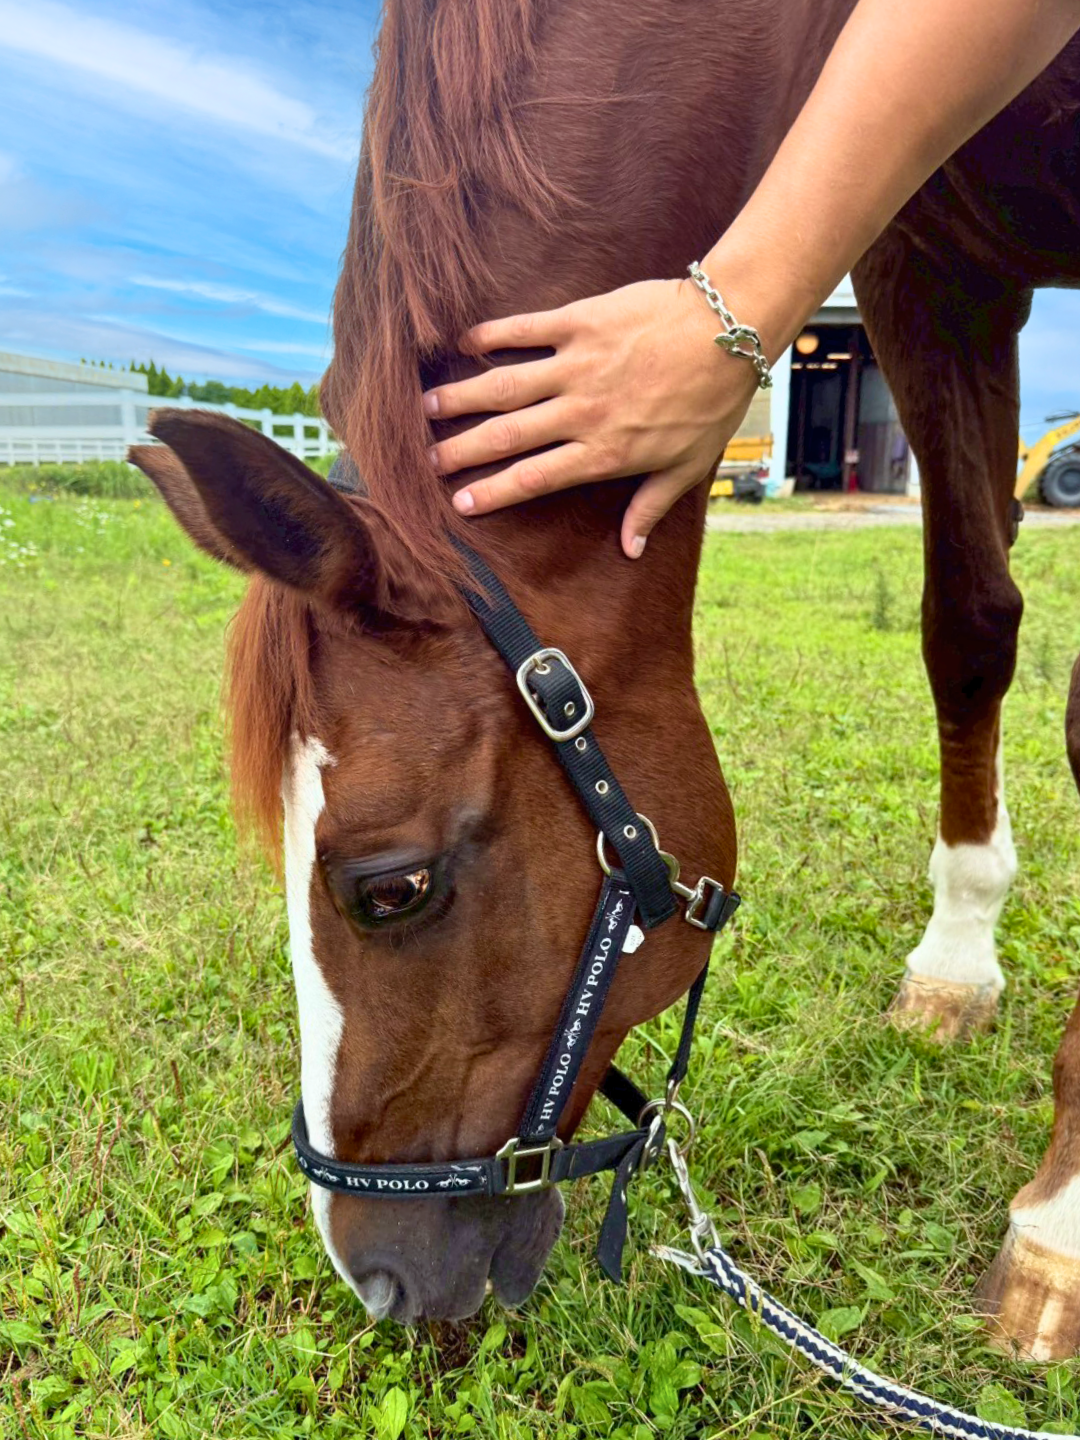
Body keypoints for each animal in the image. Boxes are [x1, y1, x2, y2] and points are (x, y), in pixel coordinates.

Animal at [131, 0, 1080, 1357]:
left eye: (390, 890)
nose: (374, 1281)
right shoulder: (930, 274)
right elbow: (968, 625)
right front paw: (956, 957)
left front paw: (1060, 1223)